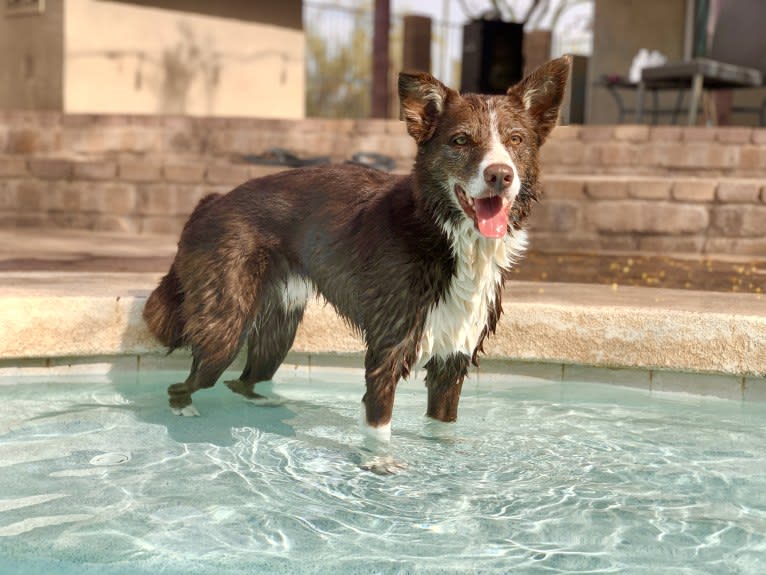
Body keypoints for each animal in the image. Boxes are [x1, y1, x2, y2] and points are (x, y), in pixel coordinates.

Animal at [142, 57, 568, 440]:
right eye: (461, 140)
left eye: (516, 140)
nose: (500, 175)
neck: (442, 233)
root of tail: (211, 200)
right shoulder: (387, 350)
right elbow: (379, 431)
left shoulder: (453, 359)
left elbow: (442, 430)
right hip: (225, 331)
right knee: (184, 383)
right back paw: (185, 410)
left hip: (278, 329)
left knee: (245, 379)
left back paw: (266, 403)